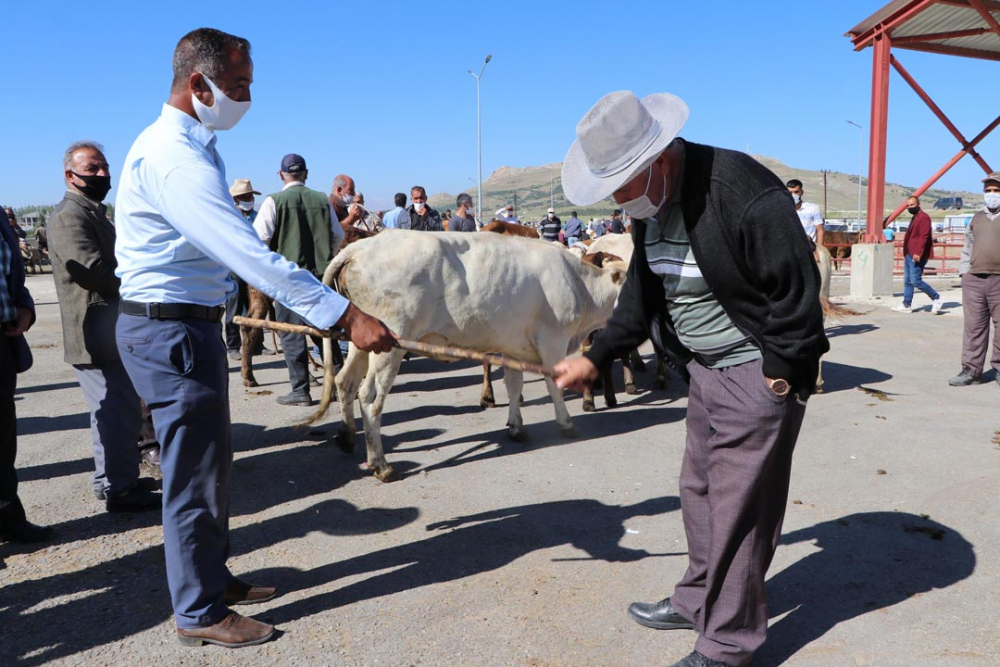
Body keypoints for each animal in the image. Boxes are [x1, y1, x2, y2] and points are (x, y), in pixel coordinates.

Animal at [308, 230, 628, 480]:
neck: (582, 286)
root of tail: (362, 246)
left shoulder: (513, 347)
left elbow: (514, 386)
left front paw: (516, 427)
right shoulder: (553, 341)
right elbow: (554, 386)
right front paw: (566, 423)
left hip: (362, 340)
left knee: (345, 382)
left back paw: (347, 436)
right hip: (390, 343)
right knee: (369, 397)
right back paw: (380, 464)